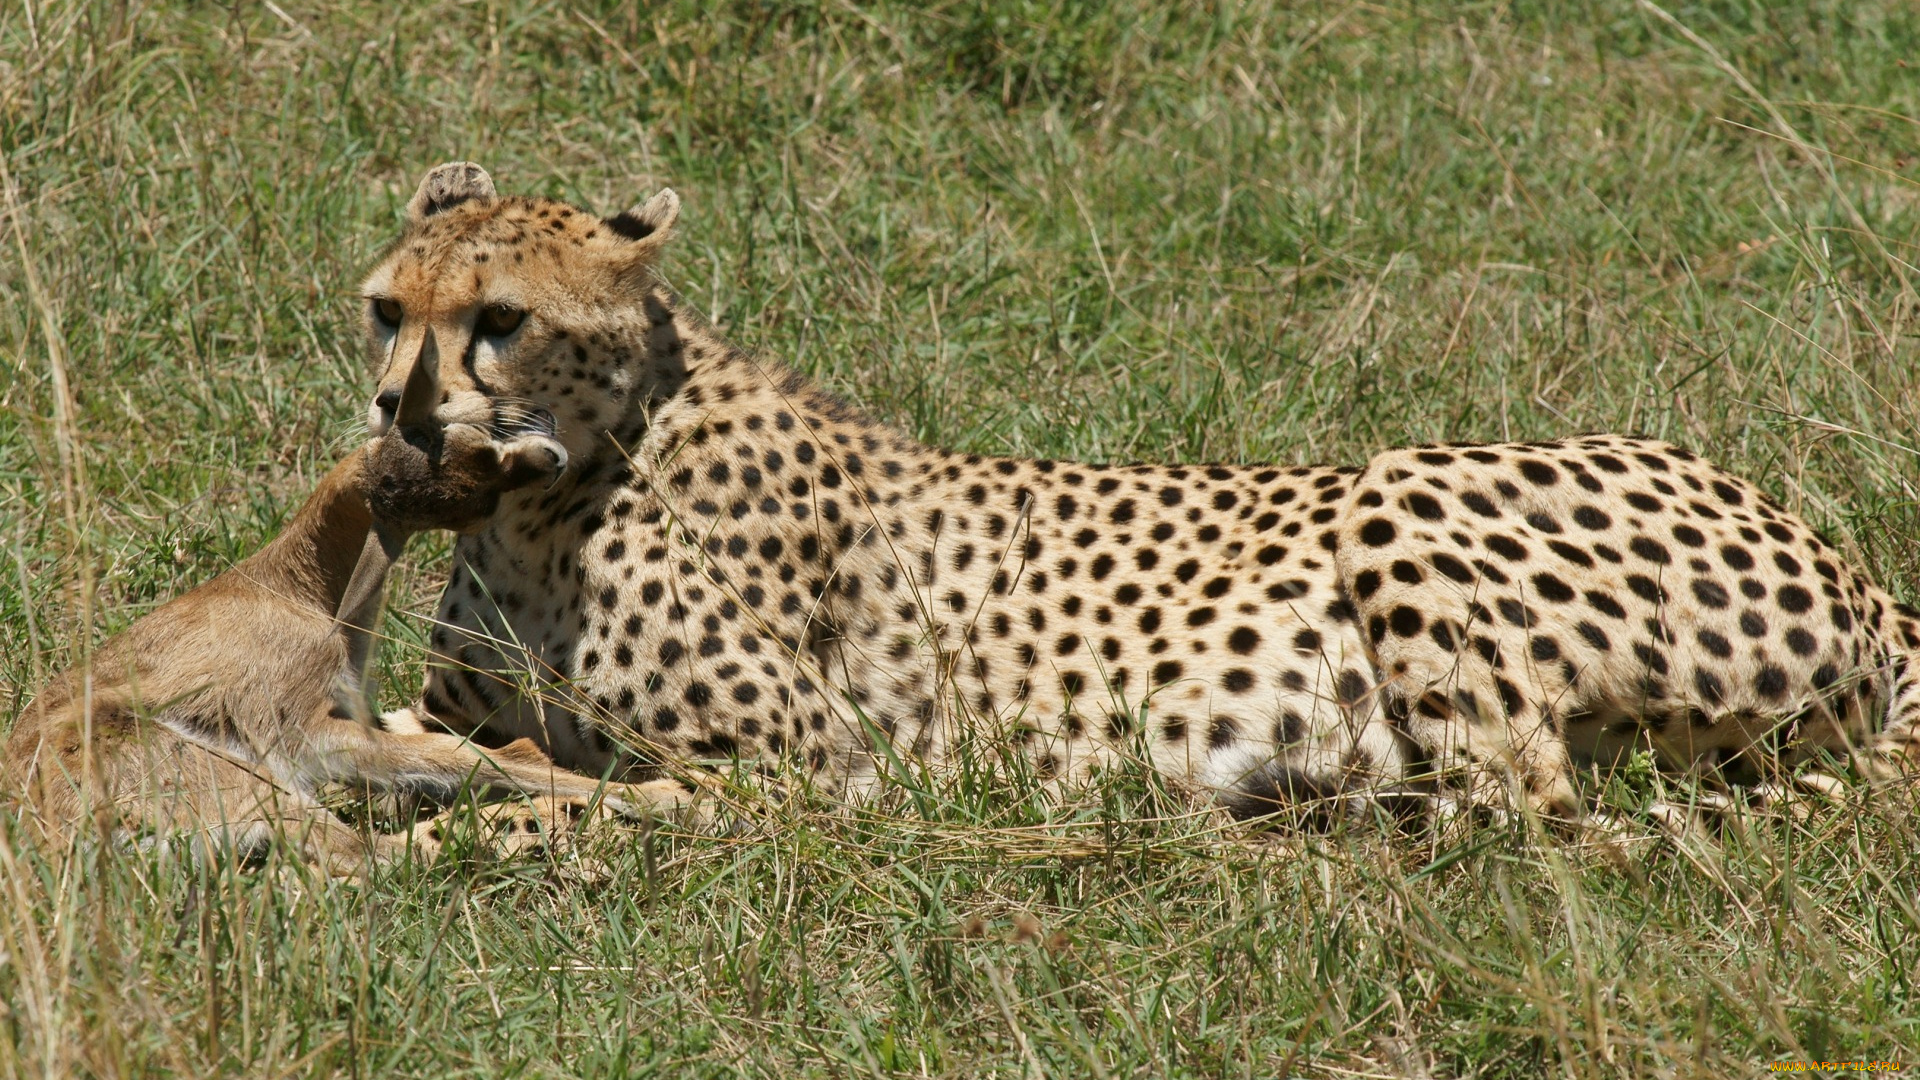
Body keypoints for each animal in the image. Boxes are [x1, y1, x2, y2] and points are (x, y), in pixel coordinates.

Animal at [3, 332, 683, 868]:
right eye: (460, 442)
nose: (550, 456)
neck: (296, 590)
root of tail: (39, 830)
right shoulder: (308, 729)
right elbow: (464, 754)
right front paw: (677, 793)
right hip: (243, 778)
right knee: (378, 856)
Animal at [357, 161, 1413, 814]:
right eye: (387, 311)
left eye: (502, 318)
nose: (398, 412)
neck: (543, 508)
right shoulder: (451, 714)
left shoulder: (792, 774)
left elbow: (553, 813)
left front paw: (427, 844)